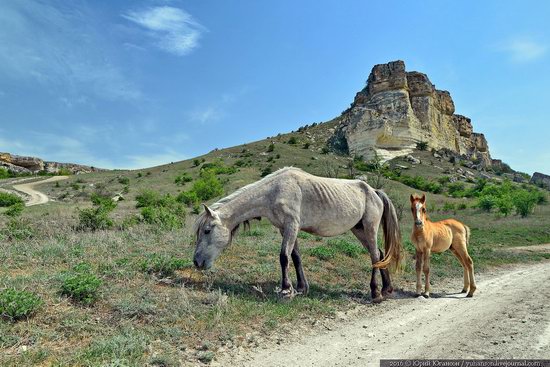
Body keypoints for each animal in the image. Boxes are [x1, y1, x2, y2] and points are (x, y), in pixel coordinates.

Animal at [192, 168, 404, 304]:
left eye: (207, 230)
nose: (197, 262)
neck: (275, 190)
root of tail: (374, 191)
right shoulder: (285, 228)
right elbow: (295, 257)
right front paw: (302, 288)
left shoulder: (291, 225)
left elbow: (284, 257)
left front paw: (286, 290)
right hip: (358, 230)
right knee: (380, 254)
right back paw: (386, 289)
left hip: (369, 228)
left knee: (375, 256)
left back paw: (375, 292)